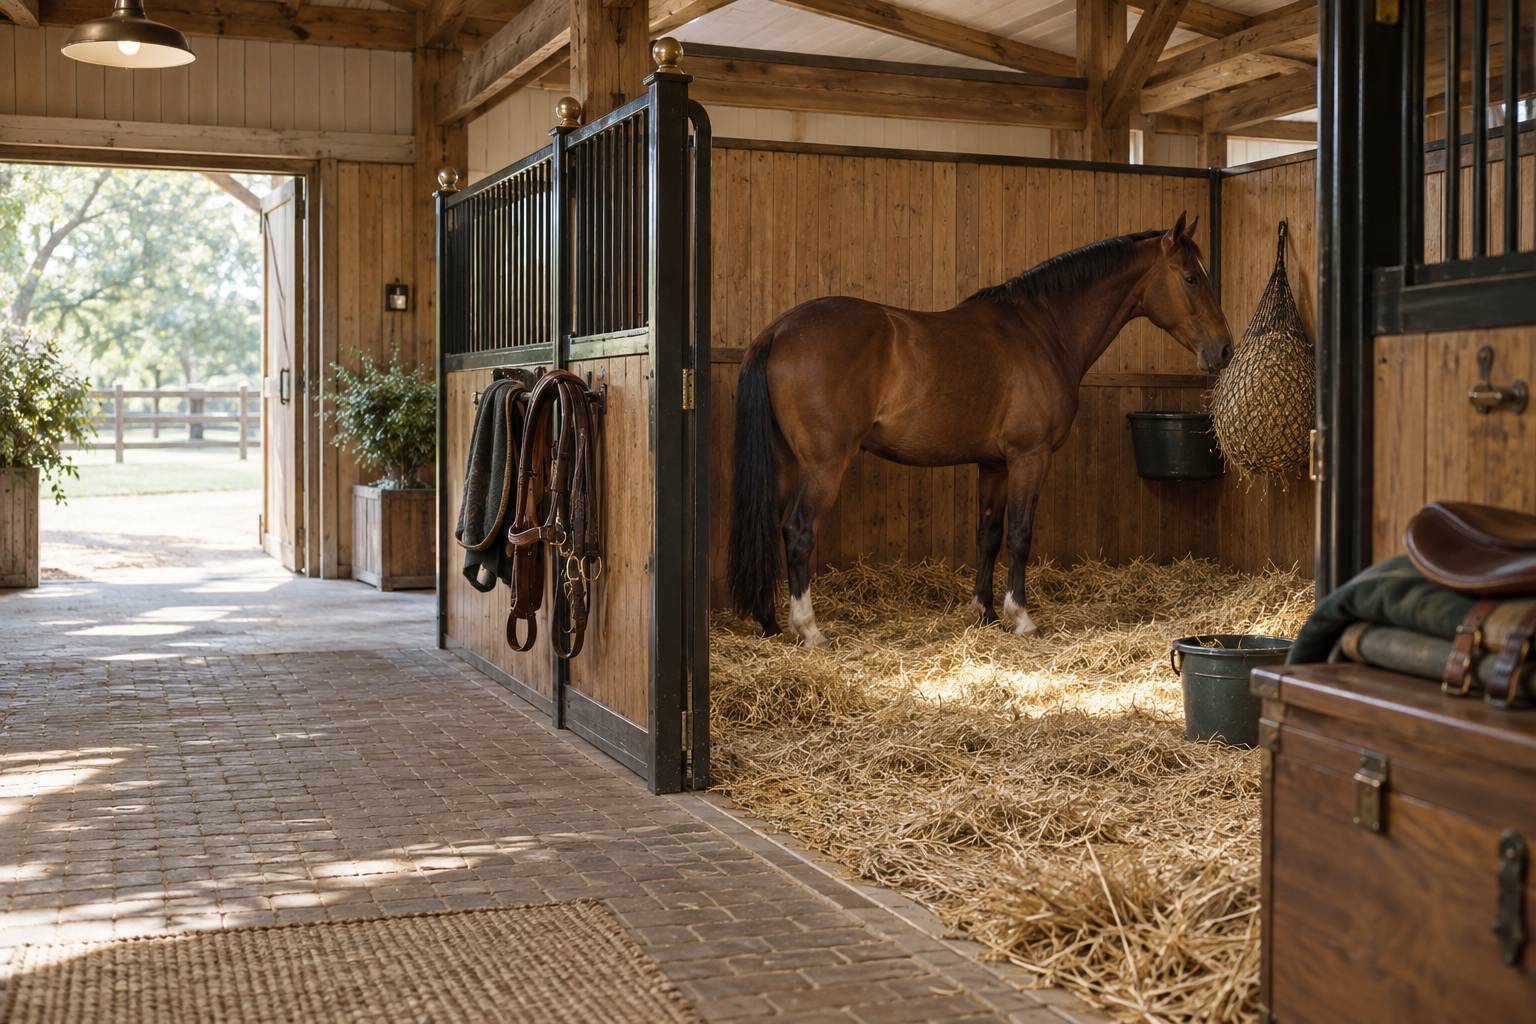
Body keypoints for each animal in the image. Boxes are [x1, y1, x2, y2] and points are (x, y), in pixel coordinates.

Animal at [727, 213, 1232, 647]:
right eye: (1191, 277)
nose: (1224, 349)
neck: (1042, 331)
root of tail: (778, 330)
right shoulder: (1030, 456)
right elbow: (1020, 534)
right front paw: (1021, 617)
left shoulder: (994, 464)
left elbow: (988, 535)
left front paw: (985, 612)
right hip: (824, 465)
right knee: (798, 531)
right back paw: (808, 629)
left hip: (784, 462)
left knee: (771, 527)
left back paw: (770, 623)